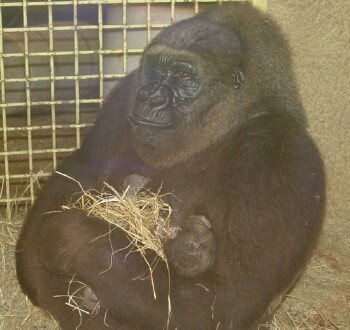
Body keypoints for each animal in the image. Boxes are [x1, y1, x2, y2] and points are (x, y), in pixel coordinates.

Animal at [15, 3, 324, 330]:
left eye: (183, 74)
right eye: (154, 70)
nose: (151, 95)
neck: (226, 122)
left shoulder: (277, 151)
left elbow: (225, 300)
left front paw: (68, 238)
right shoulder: (126, 90)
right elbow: (77, 170)